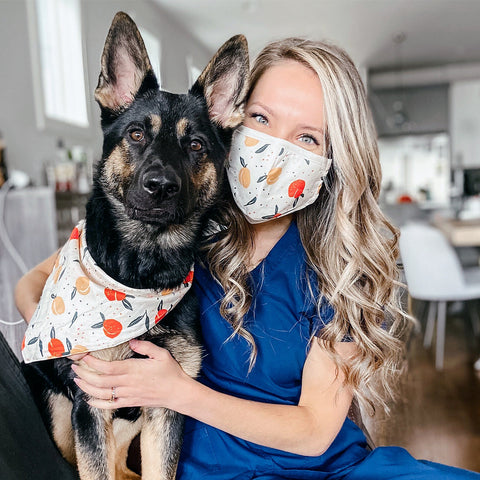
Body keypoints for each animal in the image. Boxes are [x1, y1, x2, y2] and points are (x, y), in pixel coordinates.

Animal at [21, 12, 249, 480]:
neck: (143, 270)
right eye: (138, 134)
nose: (160, 186)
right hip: (64, 422)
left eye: (195, 145)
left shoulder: (166, 405)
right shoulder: (91, 406)